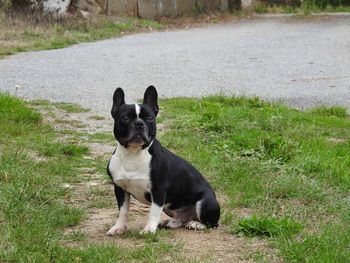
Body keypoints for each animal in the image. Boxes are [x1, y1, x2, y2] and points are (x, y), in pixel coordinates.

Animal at [106, 86, 220, 235]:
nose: (139, 124)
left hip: (205, 201)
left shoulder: (158, 190)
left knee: (212, 223)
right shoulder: (120, 188)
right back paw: (169, 223)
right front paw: (118, 227)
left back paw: (197, 224)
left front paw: (149, 230)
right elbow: (123, 211)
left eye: (150, 118)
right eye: (124, 118)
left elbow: (153, 212)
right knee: (180, 220)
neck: (133, 153)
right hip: (171, 208)